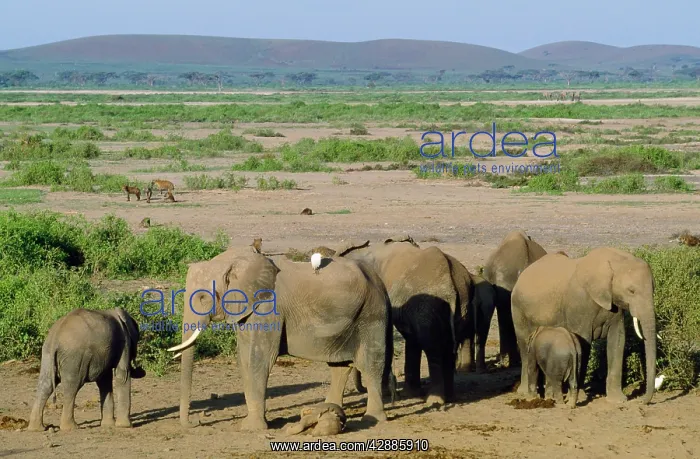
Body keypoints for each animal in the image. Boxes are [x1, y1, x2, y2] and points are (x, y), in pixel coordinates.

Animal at [165, 248, 393, 431]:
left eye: (203, 298)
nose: (197, 422)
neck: (236, 260)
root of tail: (380, 282)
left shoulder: (268, 308)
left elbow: (259, 360)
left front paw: (251, 428)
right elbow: (244, 359)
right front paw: (252, 424)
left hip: (371, 313)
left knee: (371, 364)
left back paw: (371, 419)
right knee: (340, 366)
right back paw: (327, 409)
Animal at [340, 236, 496, 406]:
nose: (362, 389)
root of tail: (451, 285)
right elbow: (411, 339)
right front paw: (409, 393)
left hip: (429, 308)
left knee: (433, 348)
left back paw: (435, 400)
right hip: (463, 303)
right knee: (447, 348)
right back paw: (449, 397)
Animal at [511, 247, 657, 405]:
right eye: (631, 290)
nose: (641, 400)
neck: (613, 260)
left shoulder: (615, 305)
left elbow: (618, 340)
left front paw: (617, 400)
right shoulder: (579, 304)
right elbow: (583, 341)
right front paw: (581, 397)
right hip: (518, 309)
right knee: (524, 346)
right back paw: (526, 392)